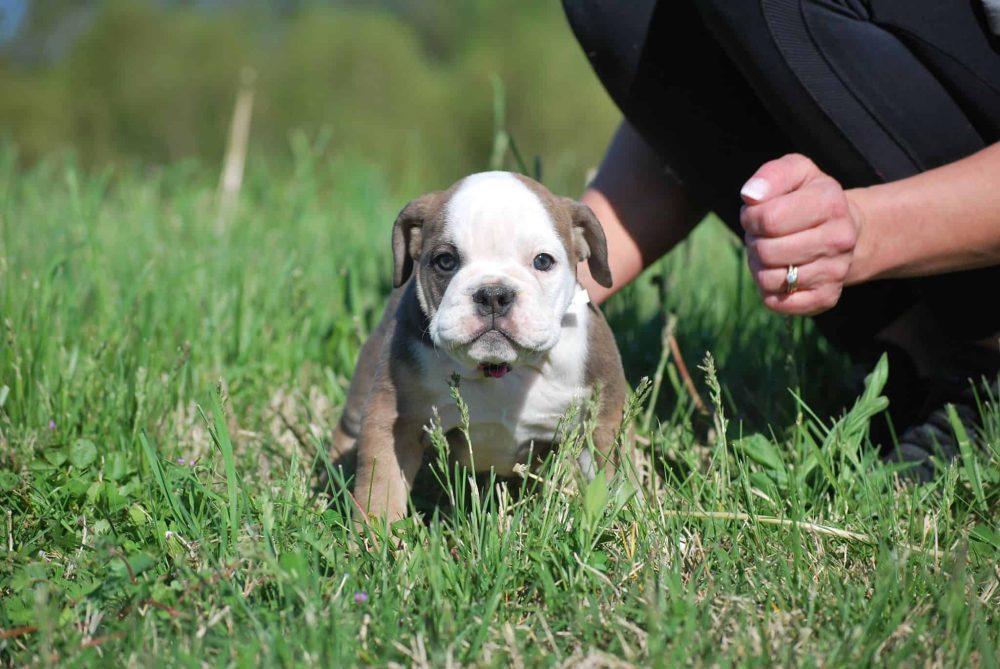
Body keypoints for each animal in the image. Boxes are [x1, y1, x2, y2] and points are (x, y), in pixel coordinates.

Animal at [332, 168, 624, 520]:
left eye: (543, 261)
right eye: (445, 261)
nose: (493, 294)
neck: (500, 369)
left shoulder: (598, 421)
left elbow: (598, 477)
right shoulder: (393, 417)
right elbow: (382, 483)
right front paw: (376, 530)